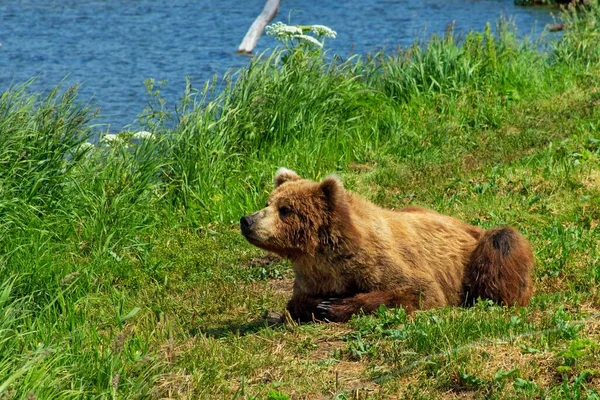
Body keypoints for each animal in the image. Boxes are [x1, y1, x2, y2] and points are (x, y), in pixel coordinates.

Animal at [239, 168, 536, 322]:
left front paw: (335, 306)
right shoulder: (312, 277)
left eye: (285, 210)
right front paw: (319, 304)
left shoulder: (382, 262)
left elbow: (420, 292)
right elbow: (296, 302)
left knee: (502, 245)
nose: (247, 220)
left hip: (480, 250)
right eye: (268, 202)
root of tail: (467, 225)